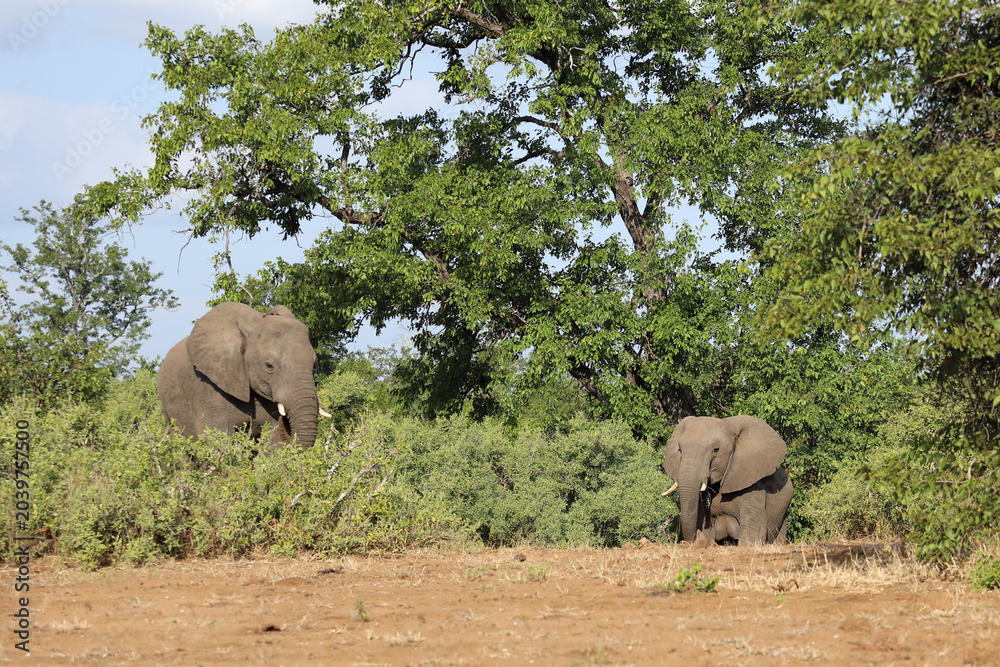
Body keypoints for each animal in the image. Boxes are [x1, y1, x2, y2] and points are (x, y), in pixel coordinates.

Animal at [661, 415, 793, 546]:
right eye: (679, 450)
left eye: (716, 450)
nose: (686, 542)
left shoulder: (753, 487)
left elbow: (754, 529)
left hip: (784, 512)